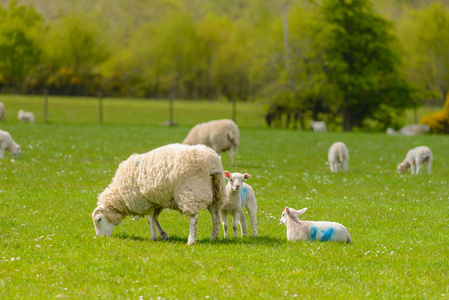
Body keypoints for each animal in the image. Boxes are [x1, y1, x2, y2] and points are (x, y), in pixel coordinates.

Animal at [91, 144, 226, 245]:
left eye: (99, 220)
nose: (101, 238)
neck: (120, 196)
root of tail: (212, 163)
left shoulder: (143, 202)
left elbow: (150, 219)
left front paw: (153, 237)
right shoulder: (155, 201)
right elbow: (155, 219)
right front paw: (163, 235)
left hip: (191, 191)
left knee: (194, 218)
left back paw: (191, 240)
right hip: (216, 193)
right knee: (215, 217)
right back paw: (213, 238)